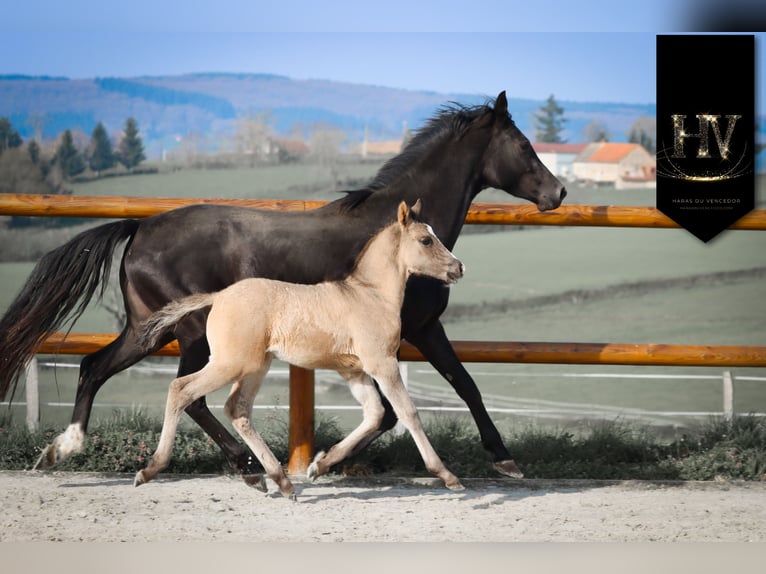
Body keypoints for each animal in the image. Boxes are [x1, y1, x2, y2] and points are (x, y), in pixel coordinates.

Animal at [134, 201, 465, 498]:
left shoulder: (353, 370)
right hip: (230, 363)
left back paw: (281, 481)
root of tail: (218, 296)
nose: (459, 267)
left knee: (237, 409)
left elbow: (374, 413)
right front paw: (447, 475)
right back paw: (150, 469)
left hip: (256, 366)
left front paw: (319, 466)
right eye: (426, 239)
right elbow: (407, 411)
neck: (369, 296)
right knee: (181, 389)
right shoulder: (381, 363)